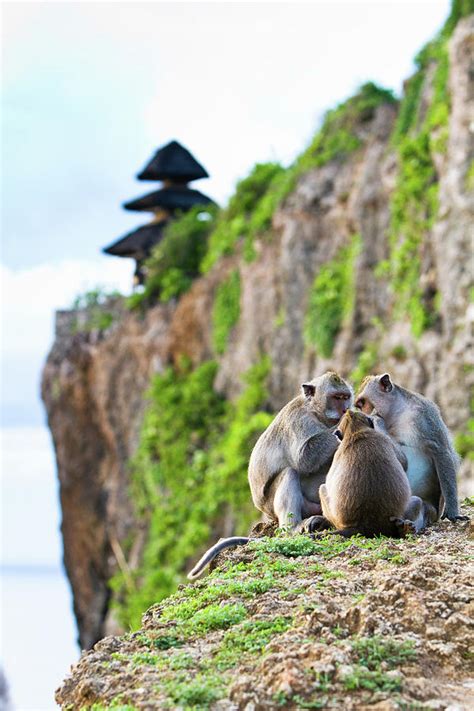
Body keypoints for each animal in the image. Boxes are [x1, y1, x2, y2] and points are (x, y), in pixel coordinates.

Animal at [187, 372, 354, 580]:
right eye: (336, 397)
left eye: (345, 397)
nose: (345, 408)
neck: (317, 413)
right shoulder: (298, 421)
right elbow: (304, 458)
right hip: (275, 505)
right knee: (289, 472)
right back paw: (292, 528)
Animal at [356, 372, 466, 528]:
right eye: (359, 405)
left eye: (363, 403)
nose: (361, 413)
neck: (397, 414)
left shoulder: (423, 415)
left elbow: (441, 451)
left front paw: (452, 513)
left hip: (431, 511)